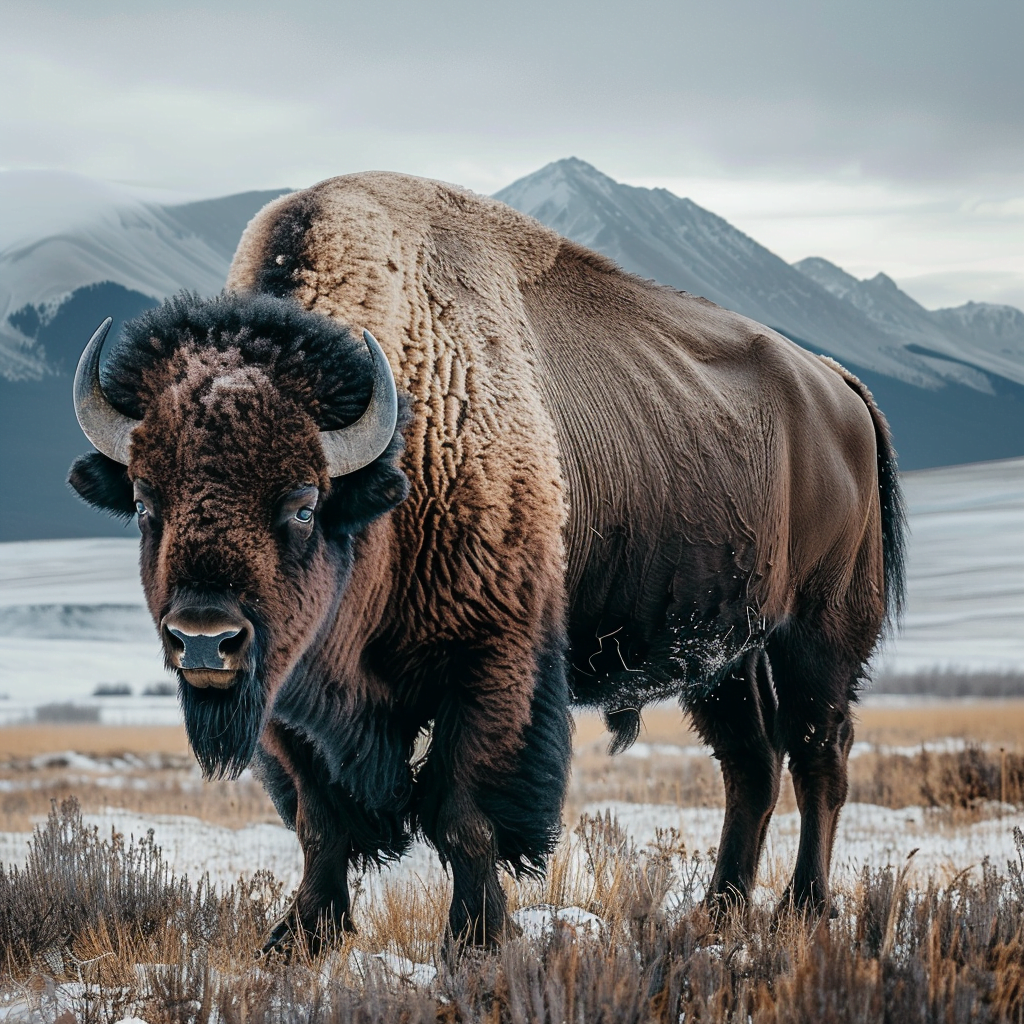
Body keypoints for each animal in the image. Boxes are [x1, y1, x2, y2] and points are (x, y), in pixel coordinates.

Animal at [70, 169, 905, 950]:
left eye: (304, 501)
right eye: (144, 501)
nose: (204, 639)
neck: (398, 447)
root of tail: (839, 388)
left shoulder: (490, 664)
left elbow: (462, 814)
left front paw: (476, 939)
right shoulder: (291, 700)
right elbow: (318, 820)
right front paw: (301, 936)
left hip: (818, 636)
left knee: (819, 757)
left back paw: (804, 908)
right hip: (723, 654)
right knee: (751, 766)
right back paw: (718, 910)